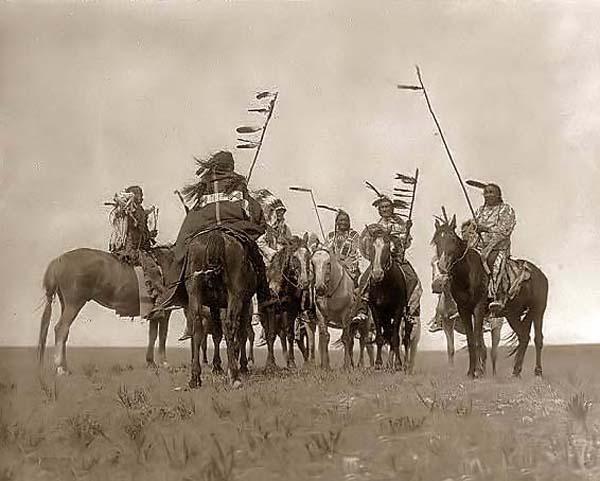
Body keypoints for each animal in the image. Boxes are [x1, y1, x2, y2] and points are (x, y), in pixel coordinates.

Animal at [36, 246, 178, 374]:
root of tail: (58, 261)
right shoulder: (165, 311)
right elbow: (162, 335)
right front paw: (164, 363)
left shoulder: (155, 313)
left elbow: (153, 335)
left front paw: (151, 363)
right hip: (74, 304)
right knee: (61, 329)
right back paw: (60, 368)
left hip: (66, 304)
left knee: (64, 331)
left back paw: (65, 367)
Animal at [432, 215, 548, 378]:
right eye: (437, 240)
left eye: (453, 239)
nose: (442, 266)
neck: (468, 274)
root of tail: (539, 274)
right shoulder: (463, 310)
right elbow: (470, 340)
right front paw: (470, 373)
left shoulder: (479, 308)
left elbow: (477, 340)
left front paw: (477, 372)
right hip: (512, 314)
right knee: (524, 337)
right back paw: (516, 372)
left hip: (538, 311)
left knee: (538, 339)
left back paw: (537, 372)